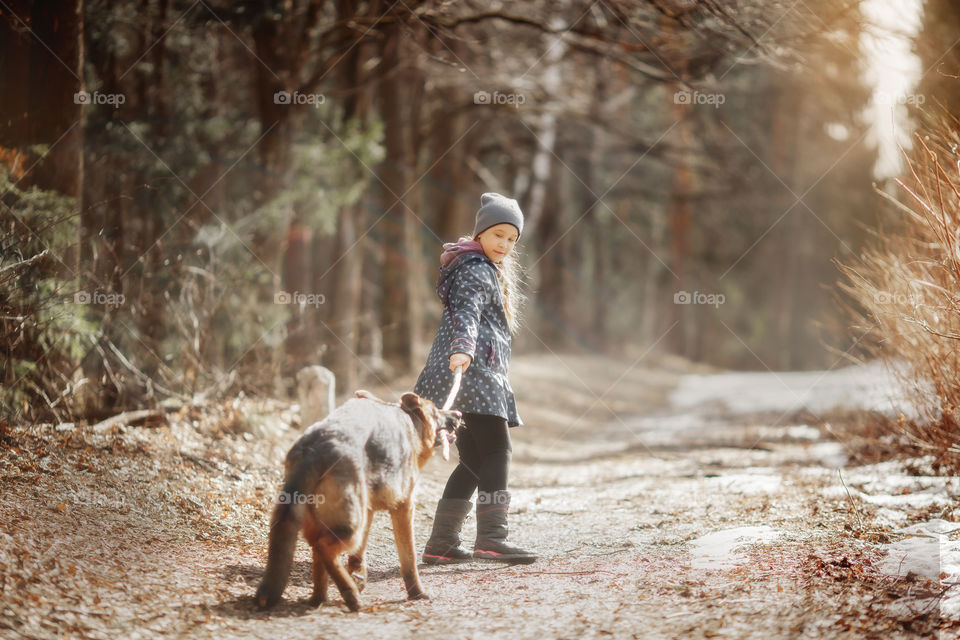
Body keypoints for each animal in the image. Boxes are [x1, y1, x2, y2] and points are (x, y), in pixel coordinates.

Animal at [255, 390, 462, 608]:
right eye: (436, 411)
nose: (458, 414)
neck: (410, 423)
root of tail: (316, 447)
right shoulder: (404, 508)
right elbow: (409, 559)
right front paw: (416, 593)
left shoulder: (369, 512)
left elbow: (358, 554)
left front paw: (358, 574)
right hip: (351, 524)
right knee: (323, 547)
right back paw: (349, 594)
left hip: (337, 520)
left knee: (319, 554)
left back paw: (320, 598)